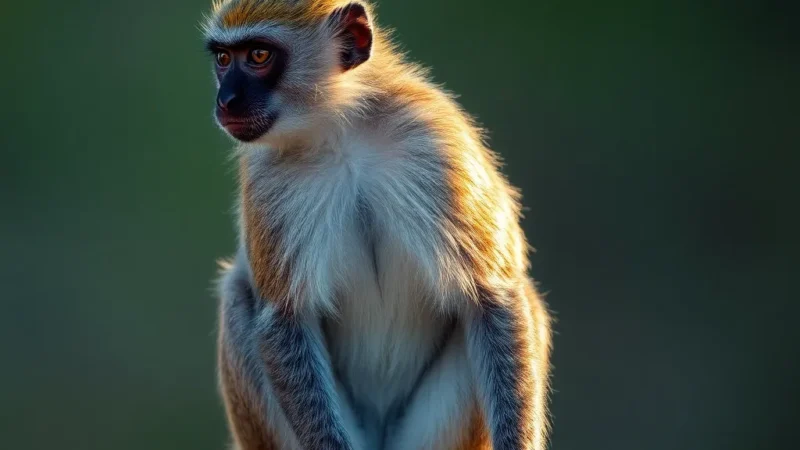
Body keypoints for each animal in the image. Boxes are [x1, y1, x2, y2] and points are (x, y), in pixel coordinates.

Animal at [204, 1, 552, 449]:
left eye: (259, 56)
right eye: (223, 59)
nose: (225, 100)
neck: (339, 133)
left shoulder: (433, 141)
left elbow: (490, 297)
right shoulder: (267, 179)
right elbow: (283, 318)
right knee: (237, 297)